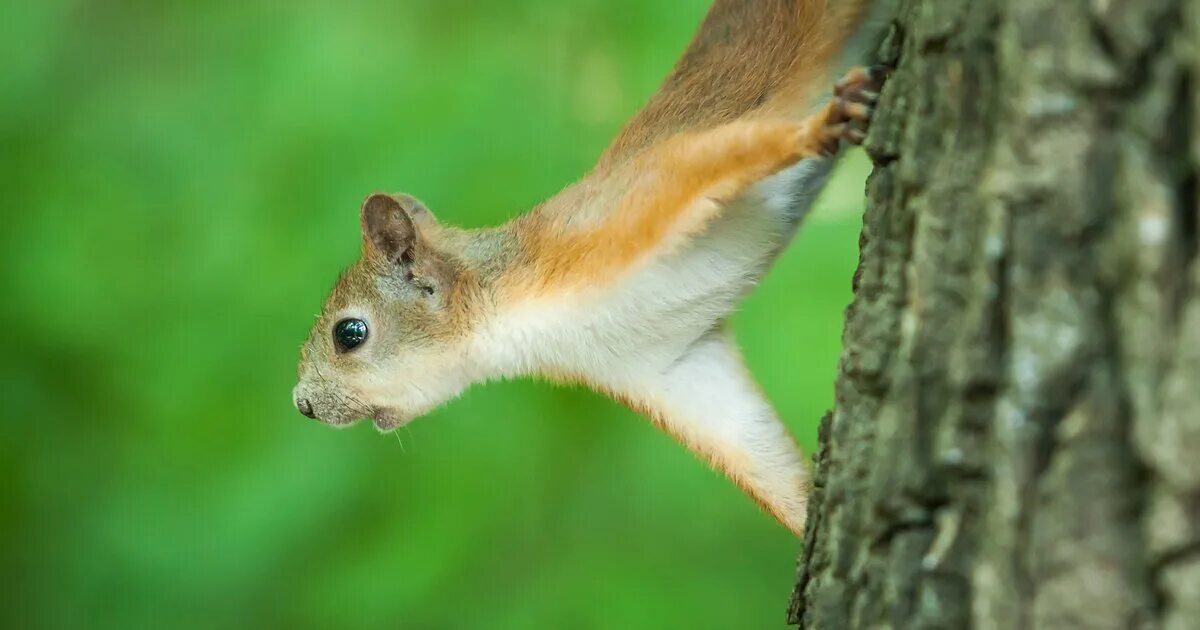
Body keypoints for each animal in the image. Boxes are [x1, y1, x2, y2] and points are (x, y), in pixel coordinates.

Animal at [290, 0, 892, 535]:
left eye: (350, 333)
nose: (302, 405)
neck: (526, 321)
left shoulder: (627, 207)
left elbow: (718, 153)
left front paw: (814, 130)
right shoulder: (662, 366)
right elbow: (757, 453)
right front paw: (808, 519)